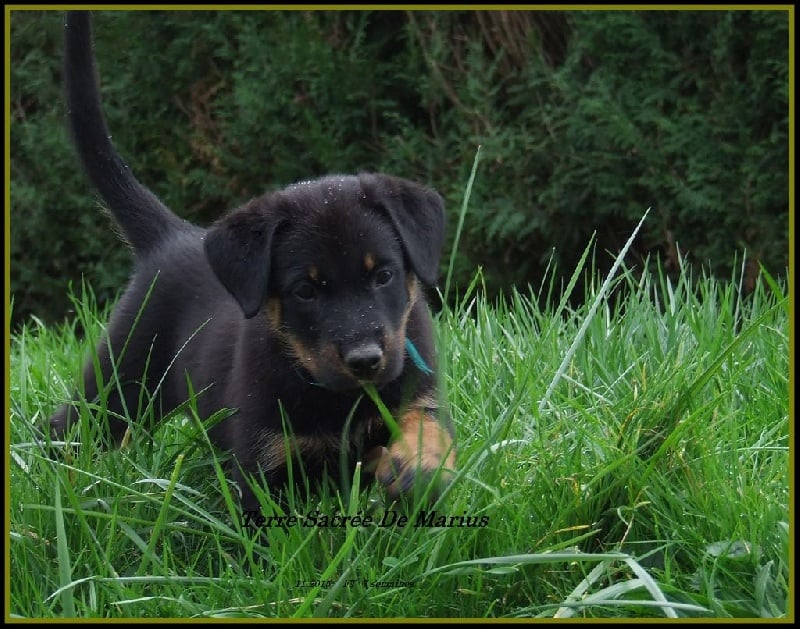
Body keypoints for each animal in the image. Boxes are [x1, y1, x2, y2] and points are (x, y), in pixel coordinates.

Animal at [50, 11, 456, 510]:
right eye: (305, 290)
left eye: (383, 275)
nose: (365, 361)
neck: (334, 396)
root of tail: (173, 236)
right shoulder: (261, 468)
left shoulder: (416, 390)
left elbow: (427, 425)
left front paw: (418, 461)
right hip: (120, 377)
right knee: (68, 429)